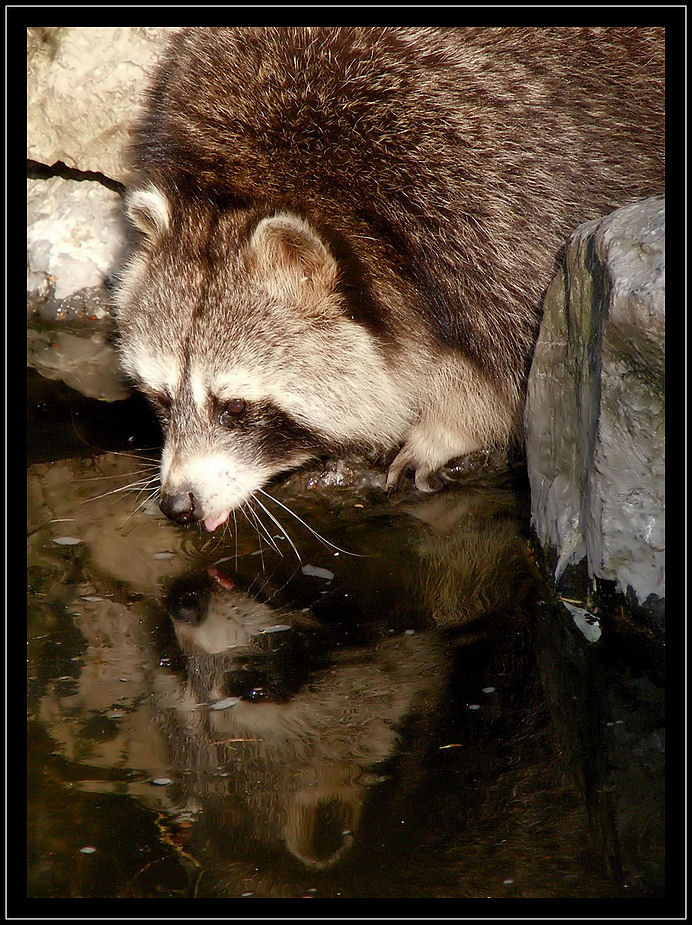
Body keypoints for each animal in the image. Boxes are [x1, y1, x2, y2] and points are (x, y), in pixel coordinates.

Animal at [115, 25, 664, 532]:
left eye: (234, 408)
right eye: (161, 398)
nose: (178, 504)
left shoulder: (492, 198)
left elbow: (526, 360)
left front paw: (456, 424)